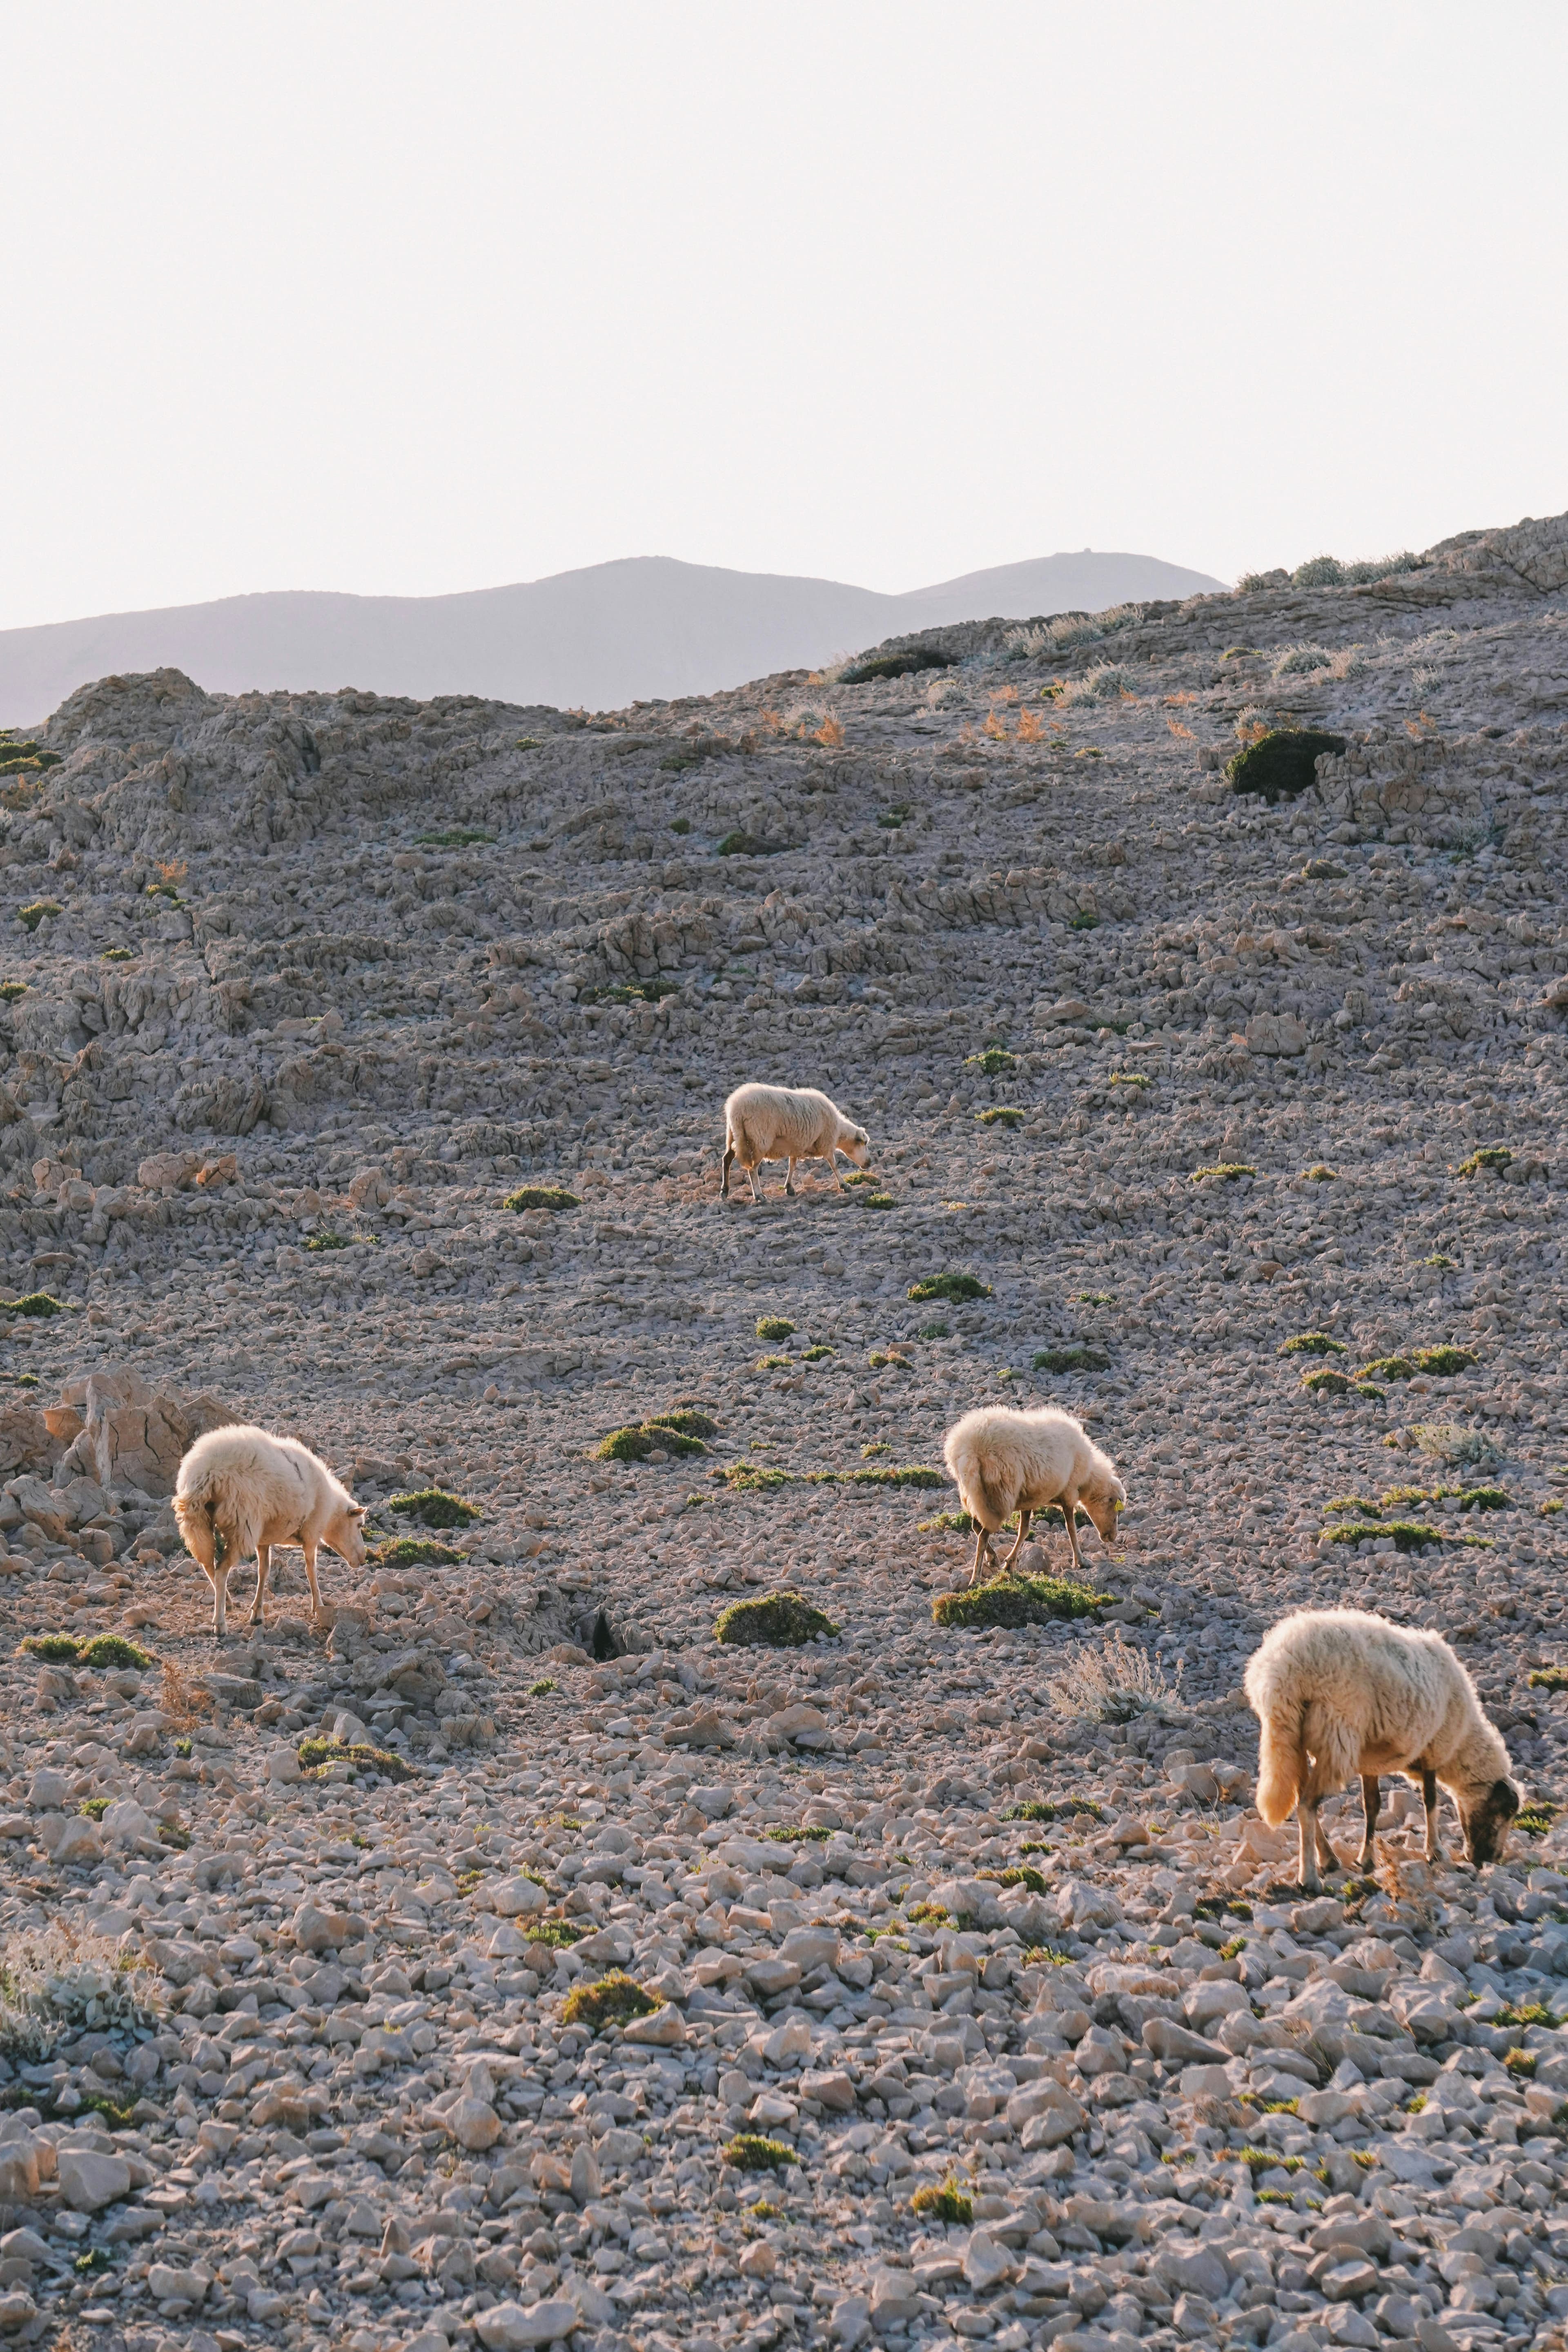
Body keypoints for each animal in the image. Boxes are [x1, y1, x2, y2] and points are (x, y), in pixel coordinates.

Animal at [173, 1425, 369, 1639]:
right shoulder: (311, 1534)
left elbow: (263, 1572)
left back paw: (227, 1602)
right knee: (221, 1571)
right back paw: (220, 1623)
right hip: (242, 1523)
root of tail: (207, 1471)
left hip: (196, 1520)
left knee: (208, 1565)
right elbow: (311, 1571)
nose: (363, 1558)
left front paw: (257, 1612)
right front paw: (318, 1605)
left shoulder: (264, 1540)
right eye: (359, 1525)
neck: (330, 1510)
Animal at [720, 1082, 870, 1204]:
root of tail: (736, 1108)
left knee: (727, 1159)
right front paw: (845, 1185)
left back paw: (725, 1191)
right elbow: (834, 1165)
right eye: (865, 1144)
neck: (839, 1130)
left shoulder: (796, 1144)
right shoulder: (826, 1143)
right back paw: (759, 1195)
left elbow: (792, 1165)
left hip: (734, 1135)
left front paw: (789, 1188)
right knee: (753, 1169)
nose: (869, 1163)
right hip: (760, 1140)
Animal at [941, 1405, 1126, 1587]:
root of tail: (968, 1448)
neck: (1088, 1479)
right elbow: (1071, 1529)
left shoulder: (1028, 1499)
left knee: (976, 1527)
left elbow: (1023, 1531)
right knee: (983, 1534)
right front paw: (1081, 1560)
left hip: (977, 1493)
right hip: (1000, 1494)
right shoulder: (1069, 1492)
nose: (1111, 1538)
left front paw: (1009, 1564)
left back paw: (992, 1558)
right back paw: (975, 1578)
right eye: (1116, 1512)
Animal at [1244, 1606, 1520, 1892]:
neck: (1462, 1744)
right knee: (1307, 1804)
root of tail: (1282, 1670)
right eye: (1506, 1811)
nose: (1490, 1859)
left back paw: (1328, 1858)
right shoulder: (1434, 1747)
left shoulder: (1370, 1761)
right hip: (1337, 1735)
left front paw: (1366, 1859)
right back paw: (1308, 1876)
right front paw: (1435, 1851)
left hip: (1292, 1739)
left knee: (1301, 1797)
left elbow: (1372, 1806)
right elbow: (1430, 1801)